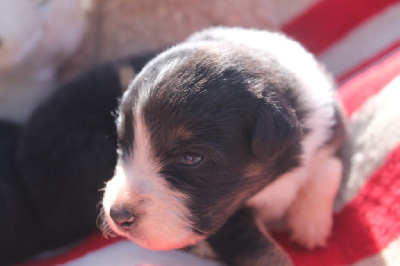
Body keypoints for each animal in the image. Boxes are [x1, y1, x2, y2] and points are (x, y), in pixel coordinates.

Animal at [101, 27, 346, 266]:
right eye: (122, 145)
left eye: (191, 158)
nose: (118, 215)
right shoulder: (229, 218)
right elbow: (260, 252)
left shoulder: (330, 132)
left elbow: (329, 170)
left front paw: (310, 226)